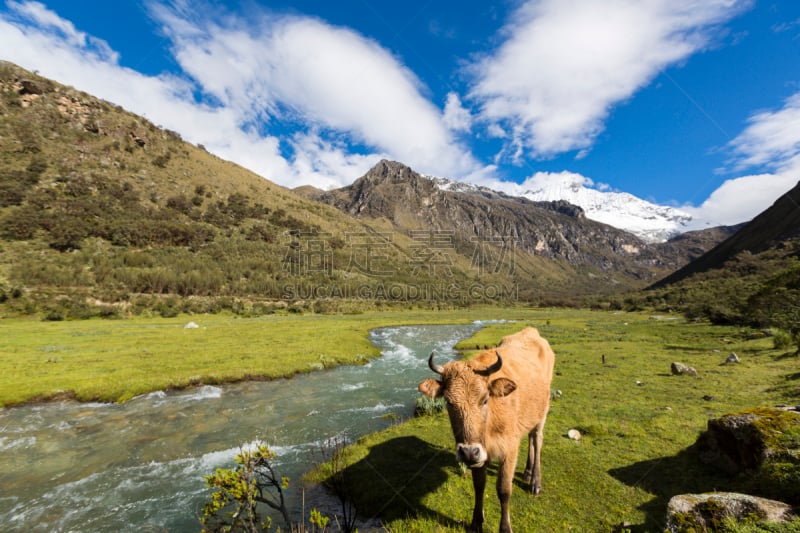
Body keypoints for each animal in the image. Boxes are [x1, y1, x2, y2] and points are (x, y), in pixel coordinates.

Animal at [418, 324, 556, 532]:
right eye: (449, 402)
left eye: (485, 399)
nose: (467, 452)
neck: (489, 427)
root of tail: (531, 331)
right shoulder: (479, 456)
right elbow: (479, 485)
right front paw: (476, 522)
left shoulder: (509, 449)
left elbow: (504, 490)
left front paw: (505, 527)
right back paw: (527, 471)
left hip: (543, 412)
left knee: (537, 440)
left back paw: (535, 481)